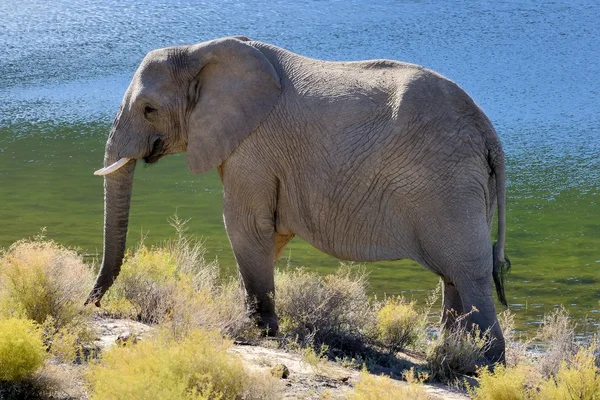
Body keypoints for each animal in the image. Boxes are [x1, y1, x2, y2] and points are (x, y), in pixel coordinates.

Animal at [86, 36, 510, 362]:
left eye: (149, 110)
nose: (92, 304)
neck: (197, 51)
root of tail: (489, 132)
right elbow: (267, 234)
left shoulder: (252, 144)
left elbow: (245, 226)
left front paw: (259, 330)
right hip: (464, 184)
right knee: (454, 273)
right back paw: (449, 355)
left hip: (447, 182)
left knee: (467, 268)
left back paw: (481, 364)